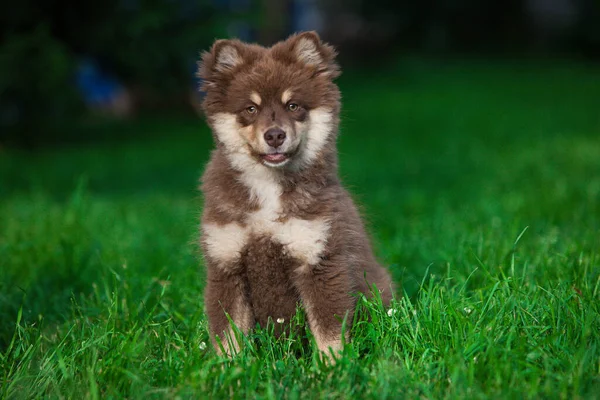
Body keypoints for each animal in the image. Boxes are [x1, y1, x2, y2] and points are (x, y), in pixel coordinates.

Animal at [197, 31, 394, 356]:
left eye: (293, 106)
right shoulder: (226, 265)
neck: (268, 187)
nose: (275, 135)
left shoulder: (319, 260)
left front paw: (334, 365)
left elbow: (329, 332)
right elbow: (228, 336)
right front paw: (228, 367)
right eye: (250, 109)